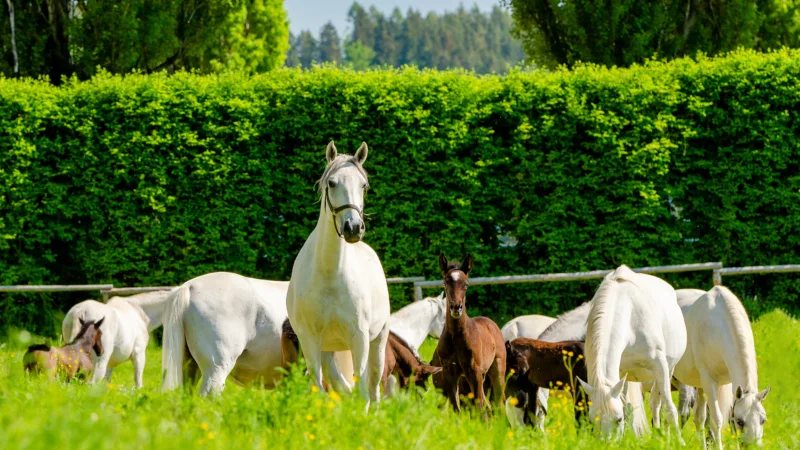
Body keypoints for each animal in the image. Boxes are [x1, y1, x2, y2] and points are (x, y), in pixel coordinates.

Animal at [286, 140, 392, 404]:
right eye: (332, 183)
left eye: (364, 185)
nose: (353, 228)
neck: (330, 275)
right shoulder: (310, 340)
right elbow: (319, 388)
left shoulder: (360, 337)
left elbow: (364, 389)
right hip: (327, 349)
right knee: (340, 384)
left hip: (378, 341)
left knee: (373, 386)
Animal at [432, 253, 506, 412]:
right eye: (445, 283)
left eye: (466, 284)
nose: (456, 307)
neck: (456, 337)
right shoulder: (449, 372)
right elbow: (456, 406)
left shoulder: (474, 372)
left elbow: (479, 406)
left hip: (497, 369)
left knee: (499, 402)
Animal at [576, 266, 688, 442]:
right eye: (593, 421)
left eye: (618, 419)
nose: (606, 445)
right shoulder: (620, 372)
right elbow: (627, 409)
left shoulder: (661, 367)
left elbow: (669, 409)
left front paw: (680, 442)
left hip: (668, 370)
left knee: (657, 403)